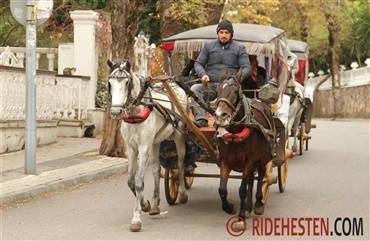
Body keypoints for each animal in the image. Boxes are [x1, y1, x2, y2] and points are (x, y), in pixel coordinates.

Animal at [107, 59, 188, 232]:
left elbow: (139, 183)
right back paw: (156, 204)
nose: (116, 112)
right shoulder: (131, 148)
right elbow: (131, 181)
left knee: (181, 163)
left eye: (127, 82)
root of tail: (173, 83)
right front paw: (145, 205)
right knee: (156, 170)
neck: (136, 111)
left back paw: (182, 193)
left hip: (178, 135)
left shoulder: (143, 147)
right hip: (155, 142)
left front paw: (136, 218)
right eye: (110, 83)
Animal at [214, 69, 274, 222]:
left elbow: (242, 190)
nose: (220, 116)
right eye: (217, 90)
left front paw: (240, 217)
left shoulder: (248, 161)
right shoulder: (225, 161)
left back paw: (258, 203)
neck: (235, 133)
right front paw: (230, 207)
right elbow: (222, 189)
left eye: (236, 90)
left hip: (264, 156)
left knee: (261, 176)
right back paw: (248, 207)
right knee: (251, 180)